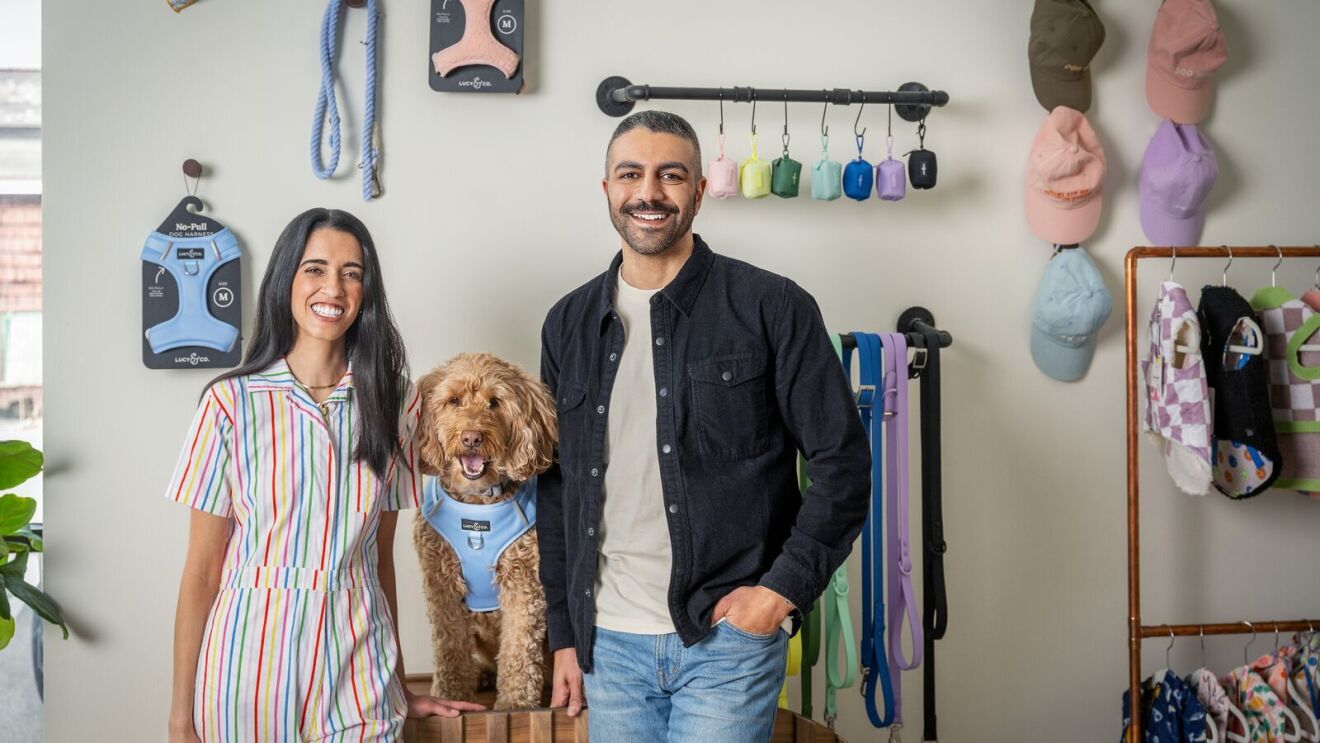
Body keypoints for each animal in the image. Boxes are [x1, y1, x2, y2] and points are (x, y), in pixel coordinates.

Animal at [411, 351, 557, 712]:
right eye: (454, 400)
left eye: (495, 402)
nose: (471, 438)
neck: (477, 504)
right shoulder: (441, 584)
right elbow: (450, 647)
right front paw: (450, 696)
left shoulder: (524, 583)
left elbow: (519, 649)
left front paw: (516, 705)